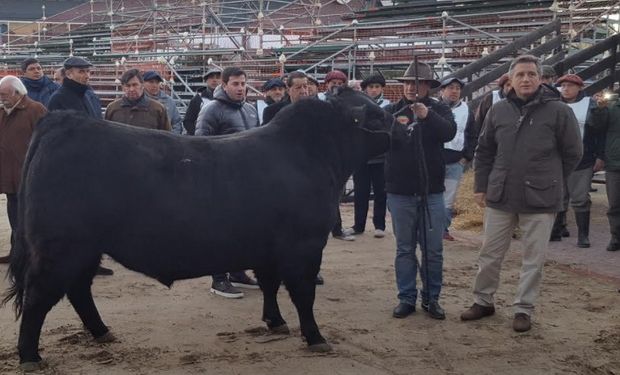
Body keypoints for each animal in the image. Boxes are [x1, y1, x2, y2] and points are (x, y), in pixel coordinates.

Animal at [1, 88, 392, 374]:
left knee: (78, 290)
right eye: (375, 115)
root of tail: (62, 121)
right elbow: (303, 294)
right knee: (38, 299)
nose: (400, 126)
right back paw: (30, 357)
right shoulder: (305, 245)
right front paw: (315, 337)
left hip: (84, 249)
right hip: (61, 249)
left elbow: (269, 285)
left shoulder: (268, 248)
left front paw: (275, 322)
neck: (312, 153)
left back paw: (102, 332)